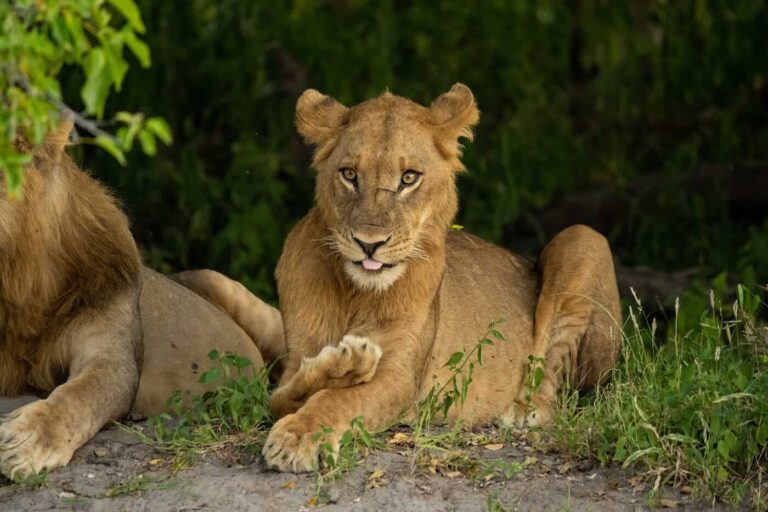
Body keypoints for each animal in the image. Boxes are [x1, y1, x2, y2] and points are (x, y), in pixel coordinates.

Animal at [261, 84, 622, 472]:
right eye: (349, 174)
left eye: (409, 178)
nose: (369, 244)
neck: (355, 292)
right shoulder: (297, 357)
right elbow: (282, 395)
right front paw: (345, 365)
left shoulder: (401, 378)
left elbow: (340, 400)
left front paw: (299, 436)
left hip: (584, 239)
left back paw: (523, 412)